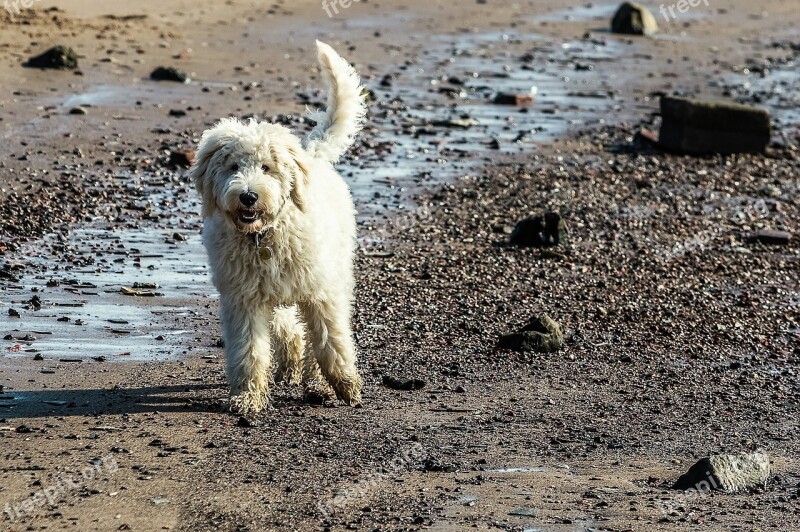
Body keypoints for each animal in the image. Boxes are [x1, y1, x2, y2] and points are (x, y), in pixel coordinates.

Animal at [192, 42, 368, 416]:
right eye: (232, 166)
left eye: (267, 167)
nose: (247, 196)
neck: (265, 235)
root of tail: (311, 154)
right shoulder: (242, 298)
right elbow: (249, 351)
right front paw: (248, 397)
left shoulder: (322, 293)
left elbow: (331, 341)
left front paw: (345, 384)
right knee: (290, 329)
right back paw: (291, 367)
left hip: (334, 271)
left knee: (314, 338)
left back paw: (317, 384)